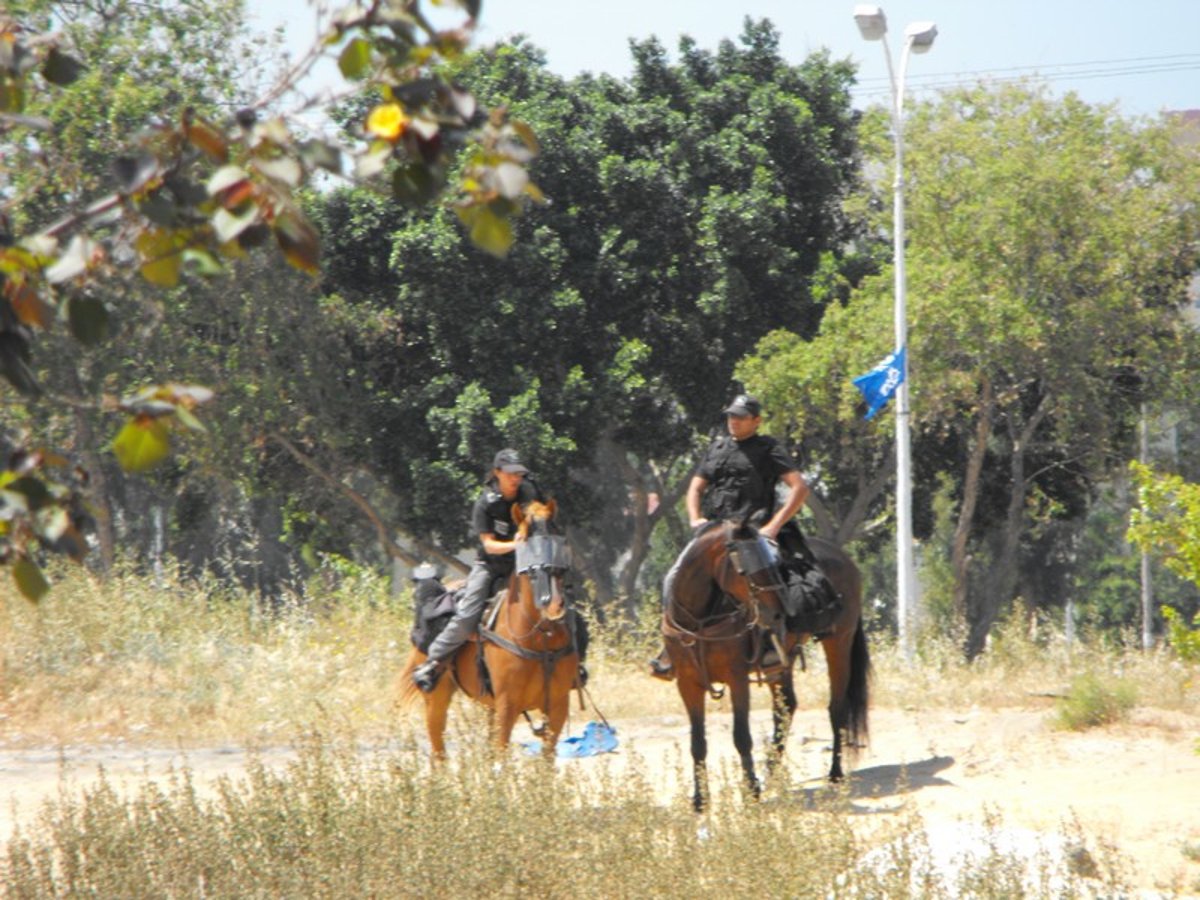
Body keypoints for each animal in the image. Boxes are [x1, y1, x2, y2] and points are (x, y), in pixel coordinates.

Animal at [398, 501, 580, 763]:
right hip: (436, 697)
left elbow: (546, 760)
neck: (539, 638)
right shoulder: (507, 705)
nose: (553, 603)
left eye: (558, 537)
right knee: (438, 750)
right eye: (525, 543)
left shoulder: (557, 706)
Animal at [662, 520, 868, 811]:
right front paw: (700, 799)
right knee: (787, 707)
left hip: (839, 642)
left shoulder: (737, 678)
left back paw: (835, 773)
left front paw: (751, 790)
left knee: (836, 708)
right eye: (745, 569)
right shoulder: (687, 682)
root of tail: (843, 557)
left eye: (772, 565)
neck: (698, 622)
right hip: (782, 662)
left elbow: (741, 736)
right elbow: (697, 742)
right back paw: (772, 771)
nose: (779, 614)